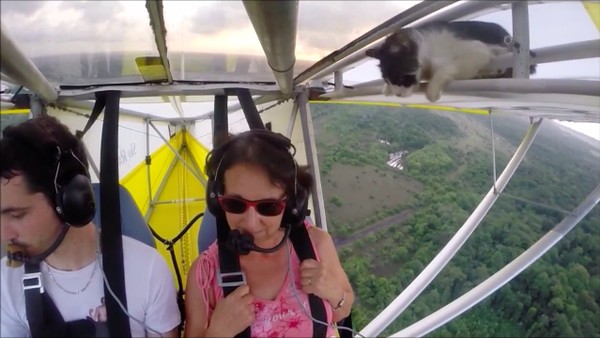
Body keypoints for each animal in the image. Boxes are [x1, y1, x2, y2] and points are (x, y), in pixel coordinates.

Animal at [368, 21, 536, 102]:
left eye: (401, 78)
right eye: (387, 78)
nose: (398, 94)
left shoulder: (477, 50)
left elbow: (446, 68)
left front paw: (433, 92)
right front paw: (387, 88)